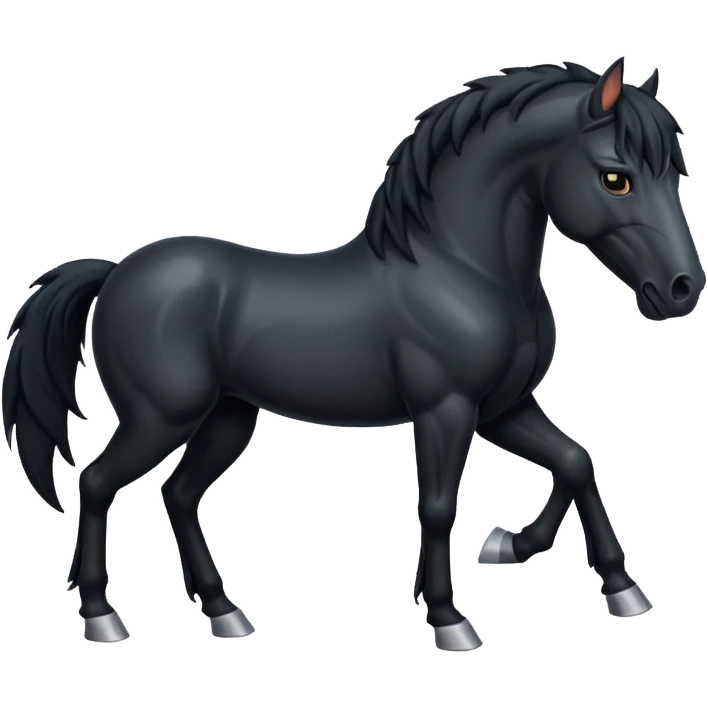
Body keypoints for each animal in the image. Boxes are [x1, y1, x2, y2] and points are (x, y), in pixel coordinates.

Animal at [2, 58, 703, 651]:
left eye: (676, 173)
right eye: (616, 177)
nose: (680, 291)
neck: (463, 267)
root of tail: (115, 272)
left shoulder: (503, 408)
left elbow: (576, 462)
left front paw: (573, 569)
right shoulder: (447, 409)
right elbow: (439, 506)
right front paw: (450, 619)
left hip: (228, 417)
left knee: (177, 494)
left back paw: (225, 613)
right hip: (161, 417)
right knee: (96, 484)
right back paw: (102, 617)